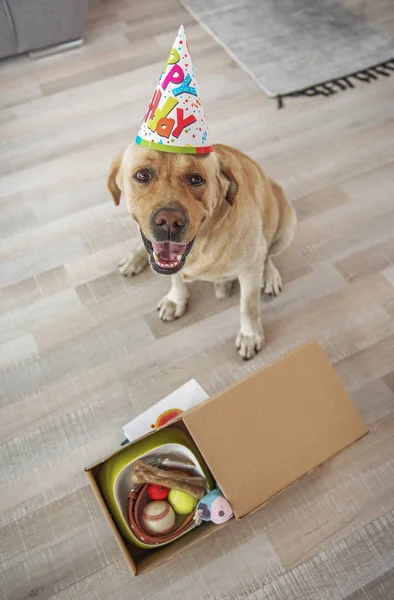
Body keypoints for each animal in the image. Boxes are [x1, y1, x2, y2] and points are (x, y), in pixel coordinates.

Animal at [107, 143, 296, 358]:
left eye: (196, 179)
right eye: (142, 175)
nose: (169, 221)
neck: (201, 243)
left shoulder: (250, 269)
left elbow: (248, 306)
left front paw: (250, 335)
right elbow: (176, 278)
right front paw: (176, 300)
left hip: (287, 227)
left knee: (268, 256)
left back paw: (268, 276)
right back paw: (135, 258)